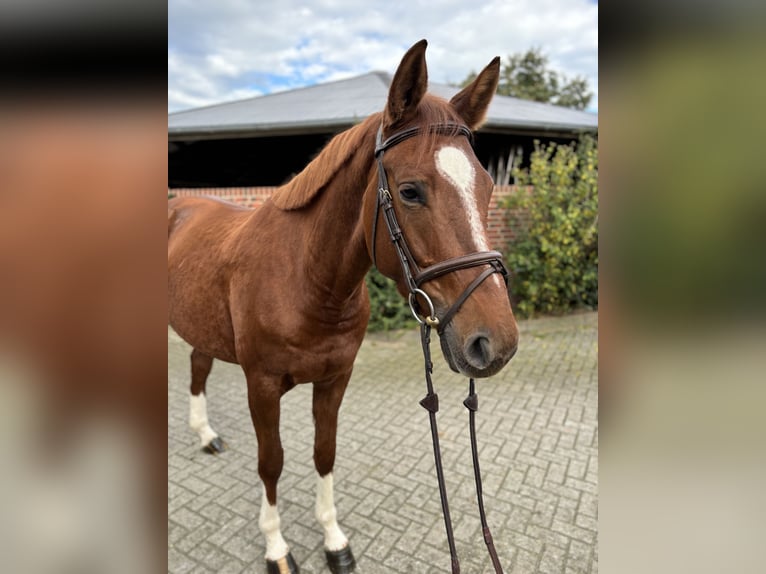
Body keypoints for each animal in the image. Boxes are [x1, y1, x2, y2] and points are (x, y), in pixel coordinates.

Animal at [166, 41, 520, 574]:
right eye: (410, 191)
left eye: (488, 187)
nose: (495, 342)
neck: (306, 281)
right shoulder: (261, 385)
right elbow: (271, 462)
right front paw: (277, 547)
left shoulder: (335, 380)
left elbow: (324, 453)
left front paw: (334, 540)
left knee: (198, 367)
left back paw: (206, 435)